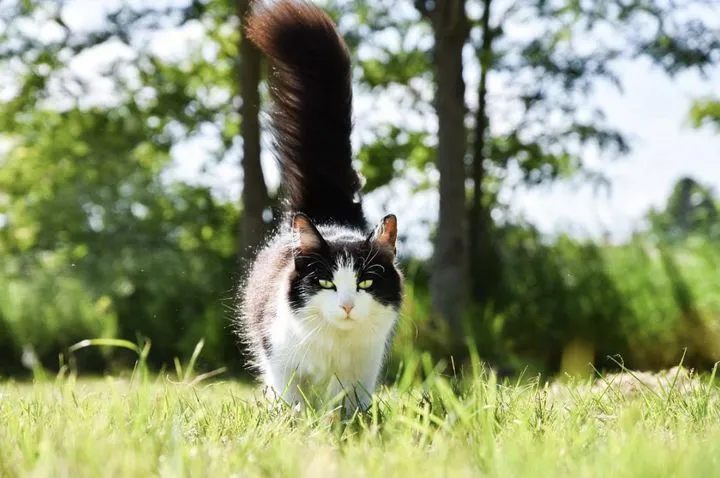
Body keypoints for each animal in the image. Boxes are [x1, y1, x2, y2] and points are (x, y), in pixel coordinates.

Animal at [238, 0, 402, 414]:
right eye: (326, 282)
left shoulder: (364, 368)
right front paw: (296, 422)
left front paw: (351, 424)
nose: (346, 306)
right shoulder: (280, 355)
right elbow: (293, 401)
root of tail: (329, 213)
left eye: (365, 283)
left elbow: (351, 406)